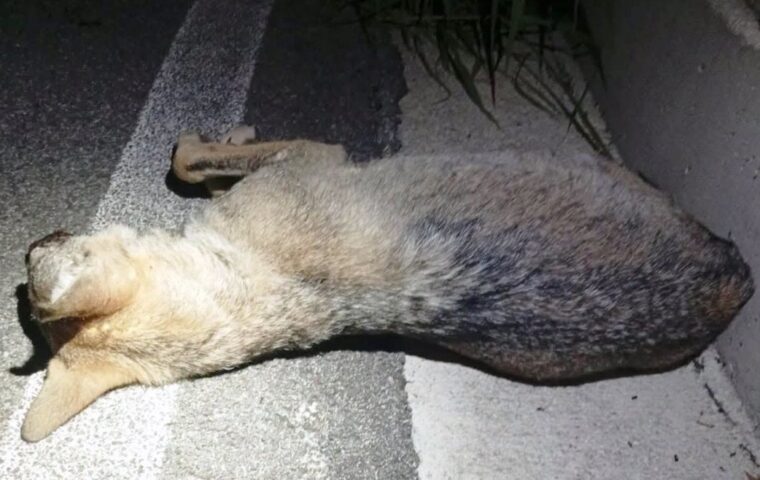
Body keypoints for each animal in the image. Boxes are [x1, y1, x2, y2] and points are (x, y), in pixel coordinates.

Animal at [21, 126, 754, 442]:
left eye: (30, 284)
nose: (26, 248)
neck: (249, 278)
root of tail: (732, 283)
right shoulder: (310, 158)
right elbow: (191, 158)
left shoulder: (305, 160)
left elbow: (190, 160)